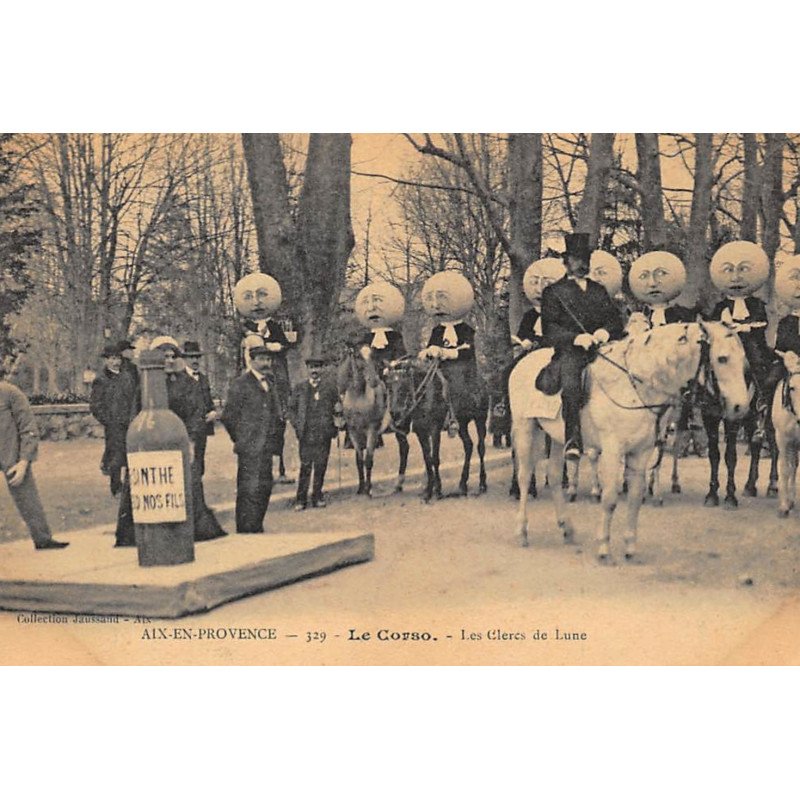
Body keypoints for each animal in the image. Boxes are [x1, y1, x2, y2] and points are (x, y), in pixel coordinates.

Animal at [512, 322, 752, 560]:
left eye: (743, 359)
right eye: (722, 358)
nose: (740, 407)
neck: (634, 385)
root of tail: (522, 362)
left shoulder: (641, 452)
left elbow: (635, 497)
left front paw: (629, 546)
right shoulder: (612, 450)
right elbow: (609, 498)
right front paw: (604, 547)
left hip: (557, 437)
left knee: (553, 476)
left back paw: (566, 528)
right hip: (525, 429)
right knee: (524, 476)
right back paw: (522, 531)